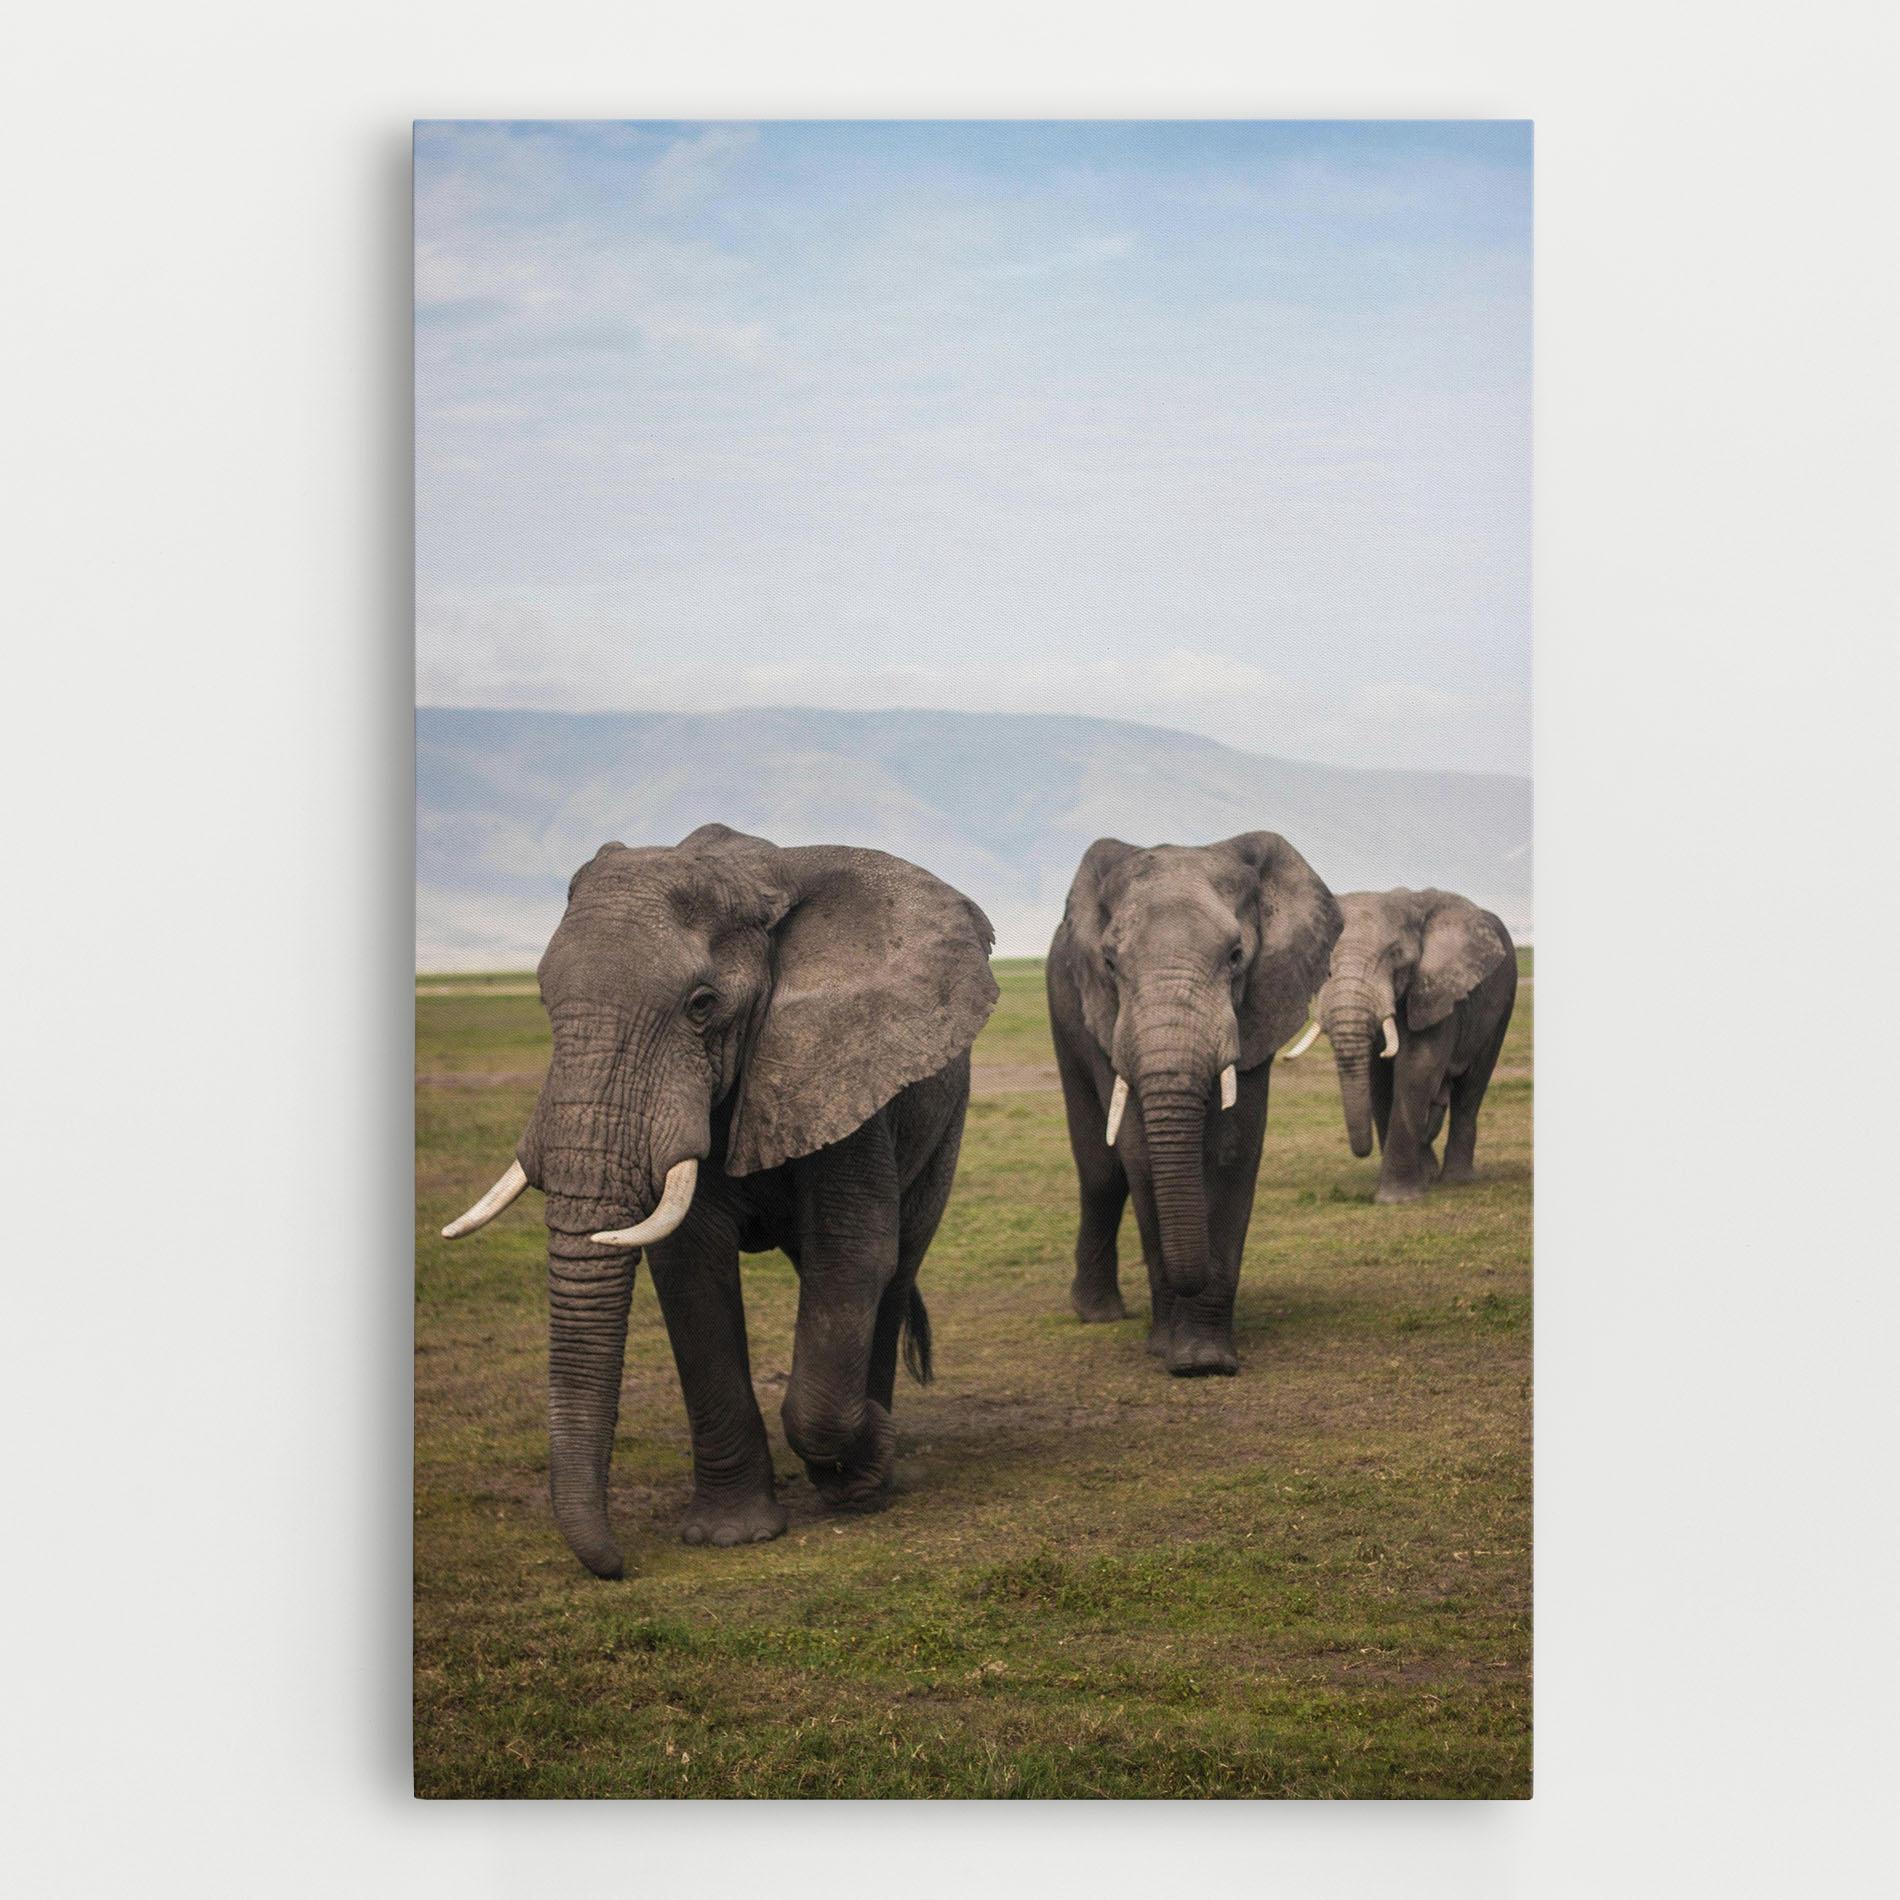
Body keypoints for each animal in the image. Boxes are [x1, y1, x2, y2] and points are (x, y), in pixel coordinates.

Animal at [439, 823, 998, 1578]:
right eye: (543, 1000)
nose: (617, 1565)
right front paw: (730, 1536)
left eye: (702, 1005)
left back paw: (869, 1474)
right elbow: (690, 1268)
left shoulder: (842, 1066)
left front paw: (865, 1461)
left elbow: (853, 1254)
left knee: (897, 1262)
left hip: (947, 1120)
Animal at [1046, 833, 1341, 1375]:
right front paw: (1170, 1352)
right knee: (1101, 1173)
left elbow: (1232, 1150)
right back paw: (1097, 1314)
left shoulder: (1258, 1008)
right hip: (1064, 1010)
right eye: (1110, 964)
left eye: (1236, 955)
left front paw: (1205, 1361)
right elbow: (1140, 1156)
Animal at [1289, 888, 1517, 1204]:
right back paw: (1430, 1174)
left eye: (1395, 955)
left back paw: (1457, 1179)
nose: (1363, 1151)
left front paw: (1396, 1199)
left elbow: (1417, 1068)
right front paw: (1414, 1184)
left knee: (1472, 1086)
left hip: (1504, 1001)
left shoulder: (1437, 990)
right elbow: (1378, 1080)